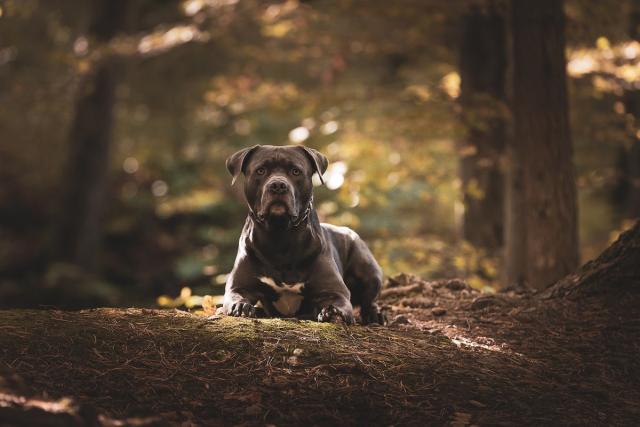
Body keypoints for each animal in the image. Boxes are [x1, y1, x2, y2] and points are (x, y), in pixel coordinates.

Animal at [220, 144, 384, 324]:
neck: (280, 234)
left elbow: (337, 301)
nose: (278, 185)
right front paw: (241, 306)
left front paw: (332, 312)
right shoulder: (239, 287)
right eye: (260, 171)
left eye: (295, 171)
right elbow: (237, 296)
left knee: (369, 299)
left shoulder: (335, 291)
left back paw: (374, 314)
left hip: (367, 268)